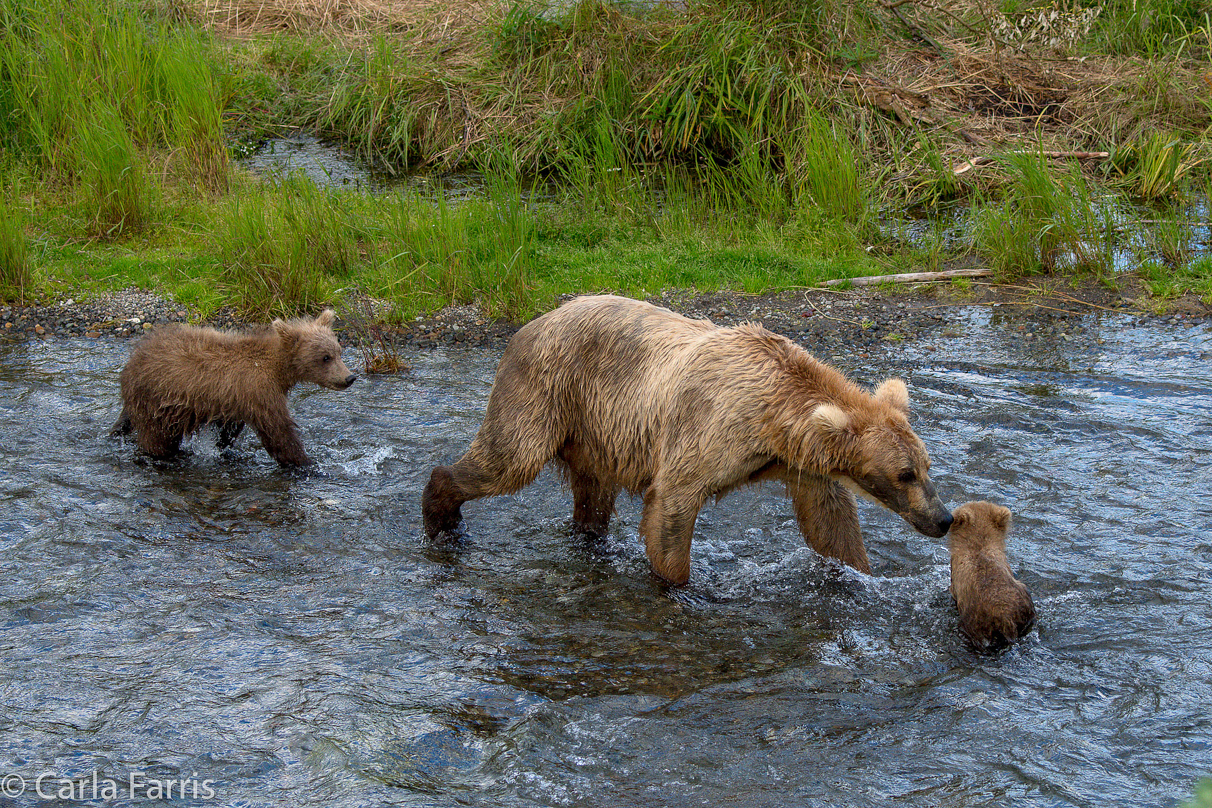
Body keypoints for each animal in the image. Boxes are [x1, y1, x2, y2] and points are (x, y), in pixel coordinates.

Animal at [113, 310, 353, 465]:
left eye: (339, 351)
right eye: (325, 357)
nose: (349, 377)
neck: (278, 370)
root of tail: (133, 359)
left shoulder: (236, 399)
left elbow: (229, 430)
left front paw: (221, 447)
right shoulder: (259, 391)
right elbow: (278, 432)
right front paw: (308, 463)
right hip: (156, 401)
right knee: (156, 438)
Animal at [421, 294, 950, 583]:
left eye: (927, 467)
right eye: (904, 474)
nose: (944, 519)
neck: (774, 420)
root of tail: (529, 324)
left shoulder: (800, 463)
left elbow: (830, 520)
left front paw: (859, 574)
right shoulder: (709, 430)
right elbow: (674, 504)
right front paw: (675, 582)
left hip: (596, 432)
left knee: (592, 497)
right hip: (546, 390)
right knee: (509, 457)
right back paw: (442, 516)